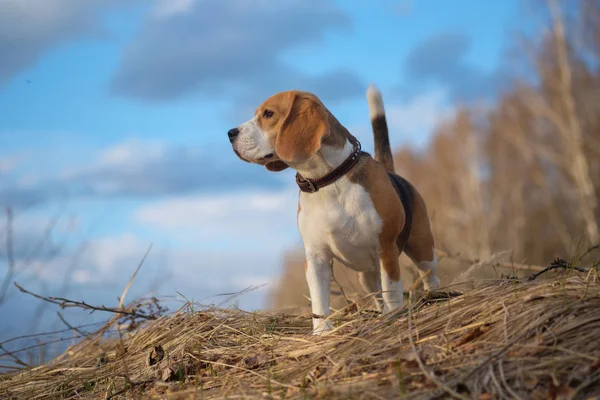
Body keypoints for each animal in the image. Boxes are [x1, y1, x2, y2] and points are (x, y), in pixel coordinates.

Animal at [230, 85, 440, 334]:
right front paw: (321, 332)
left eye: (268, 114)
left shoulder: (385, 247)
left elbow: (392, 288)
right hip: (365, 276)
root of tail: (391, 172)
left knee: (429, 276)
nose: (230, 133)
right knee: (376, 292)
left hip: (422, 247)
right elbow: (319, 299)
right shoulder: (315, 256)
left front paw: (393, 316)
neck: (326, 180)